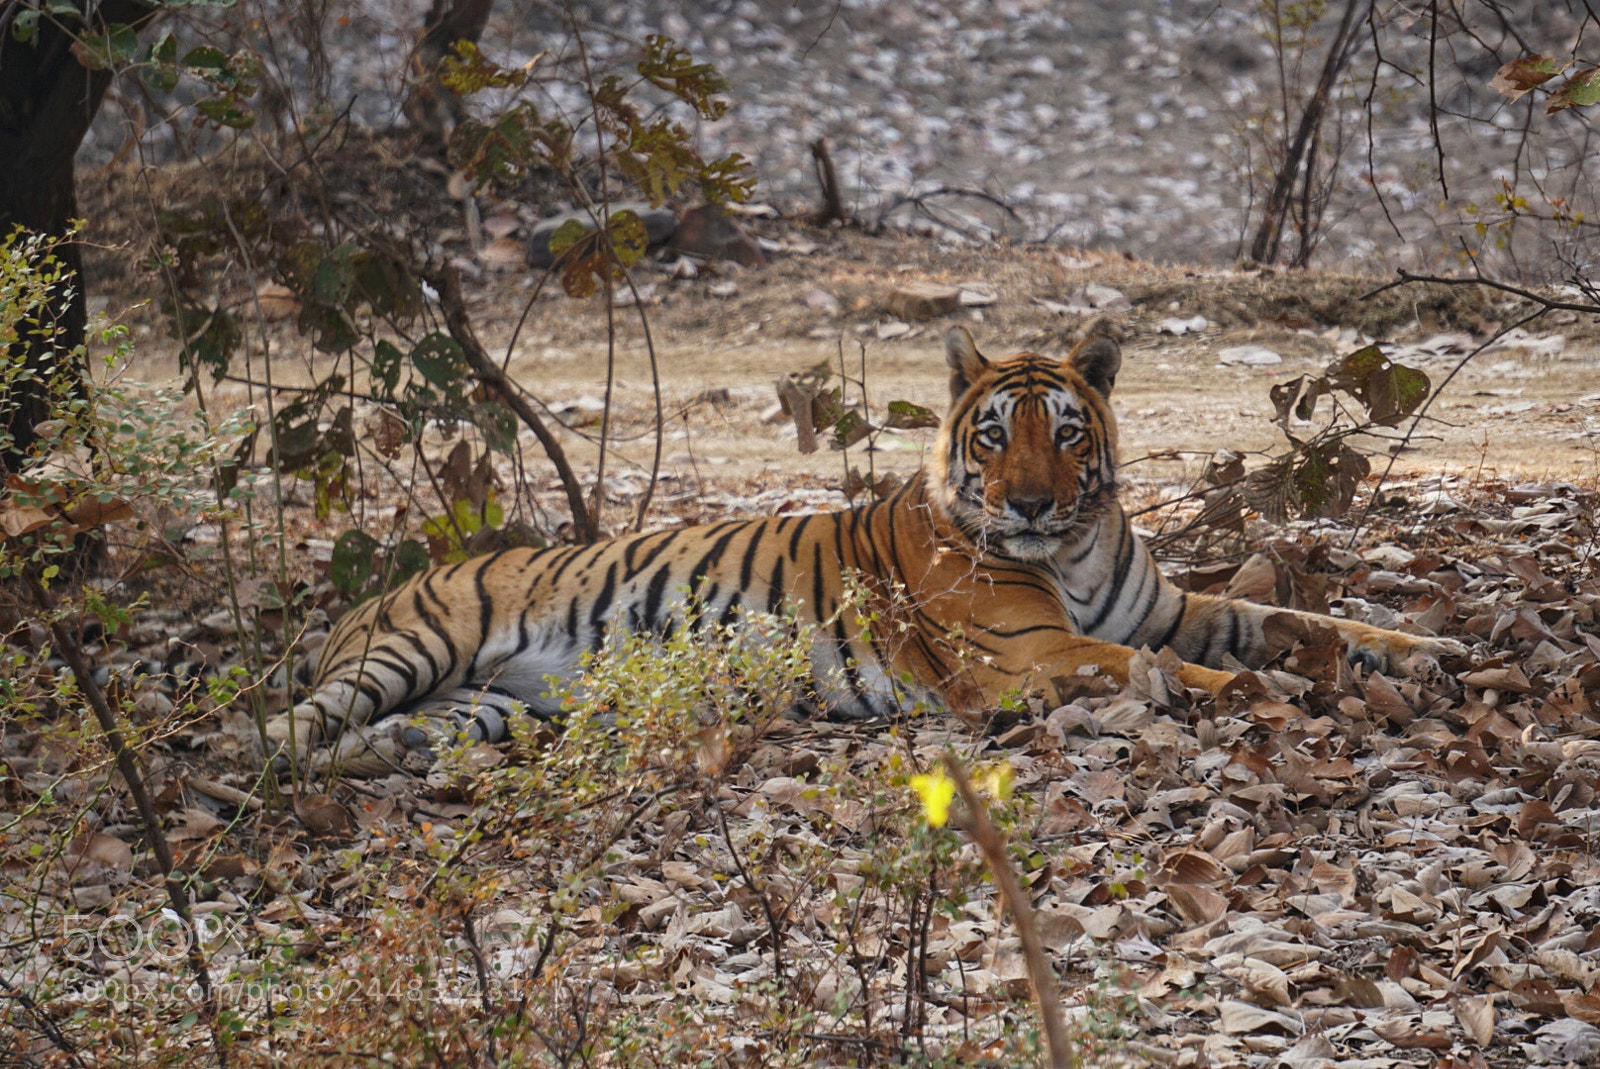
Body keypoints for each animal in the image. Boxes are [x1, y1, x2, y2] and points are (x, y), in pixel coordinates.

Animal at [269, 326, 1465, 773]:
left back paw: (388, 760)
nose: (1032, 503)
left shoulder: (1166, 607)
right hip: (412, 648)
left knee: (391, 734)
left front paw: (1425, 655)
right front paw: (1275, 700)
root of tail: (368, 594)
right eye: (994, 434)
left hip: (485, 702)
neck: (1073, 550)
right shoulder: (1029, 655)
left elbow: (1294, 619)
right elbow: (1172, 669)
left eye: (1066, 430)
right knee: (276, 731)